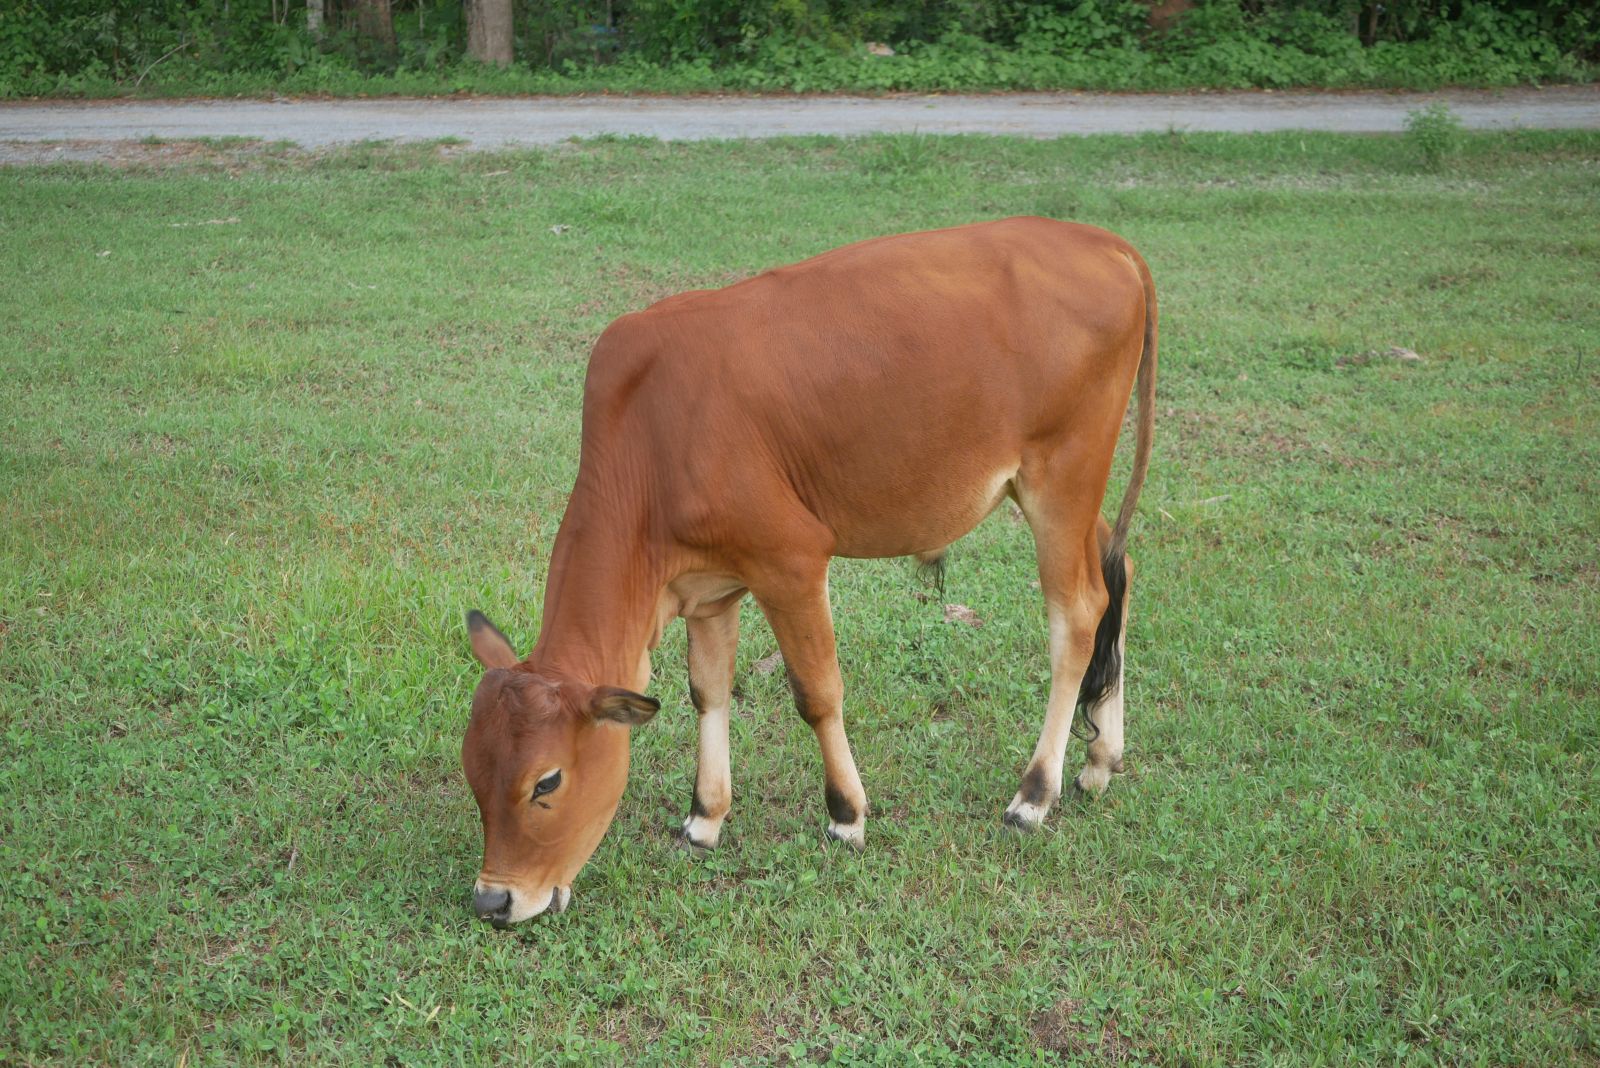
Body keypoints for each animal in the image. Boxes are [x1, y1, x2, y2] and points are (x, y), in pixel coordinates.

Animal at [457, 217, 1158, 927]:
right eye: (473, 774)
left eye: (546, 781)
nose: (494, 899)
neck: (649, 440)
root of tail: (1100, 240)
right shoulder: (709, 591)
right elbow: (709, 691)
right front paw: (704, 817)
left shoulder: (790, 562)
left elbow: (817, 693)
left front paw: (846, 814)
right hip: (1066, 495)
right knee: (1117, 572)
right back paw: (1102, 757)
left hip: (1061, 479)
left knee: (1078, 614)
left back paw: (1035, 793)